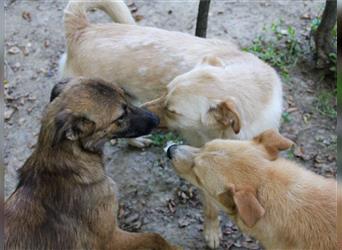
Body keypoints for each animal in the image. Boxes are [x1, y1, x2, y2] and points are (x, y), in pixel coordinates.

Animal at [4, 77, 179, 250]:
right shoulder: (110, 238)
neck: (72, 166)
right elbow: (156, 237)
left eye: (125, 96)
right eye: (120, 117)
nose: (156, 119)